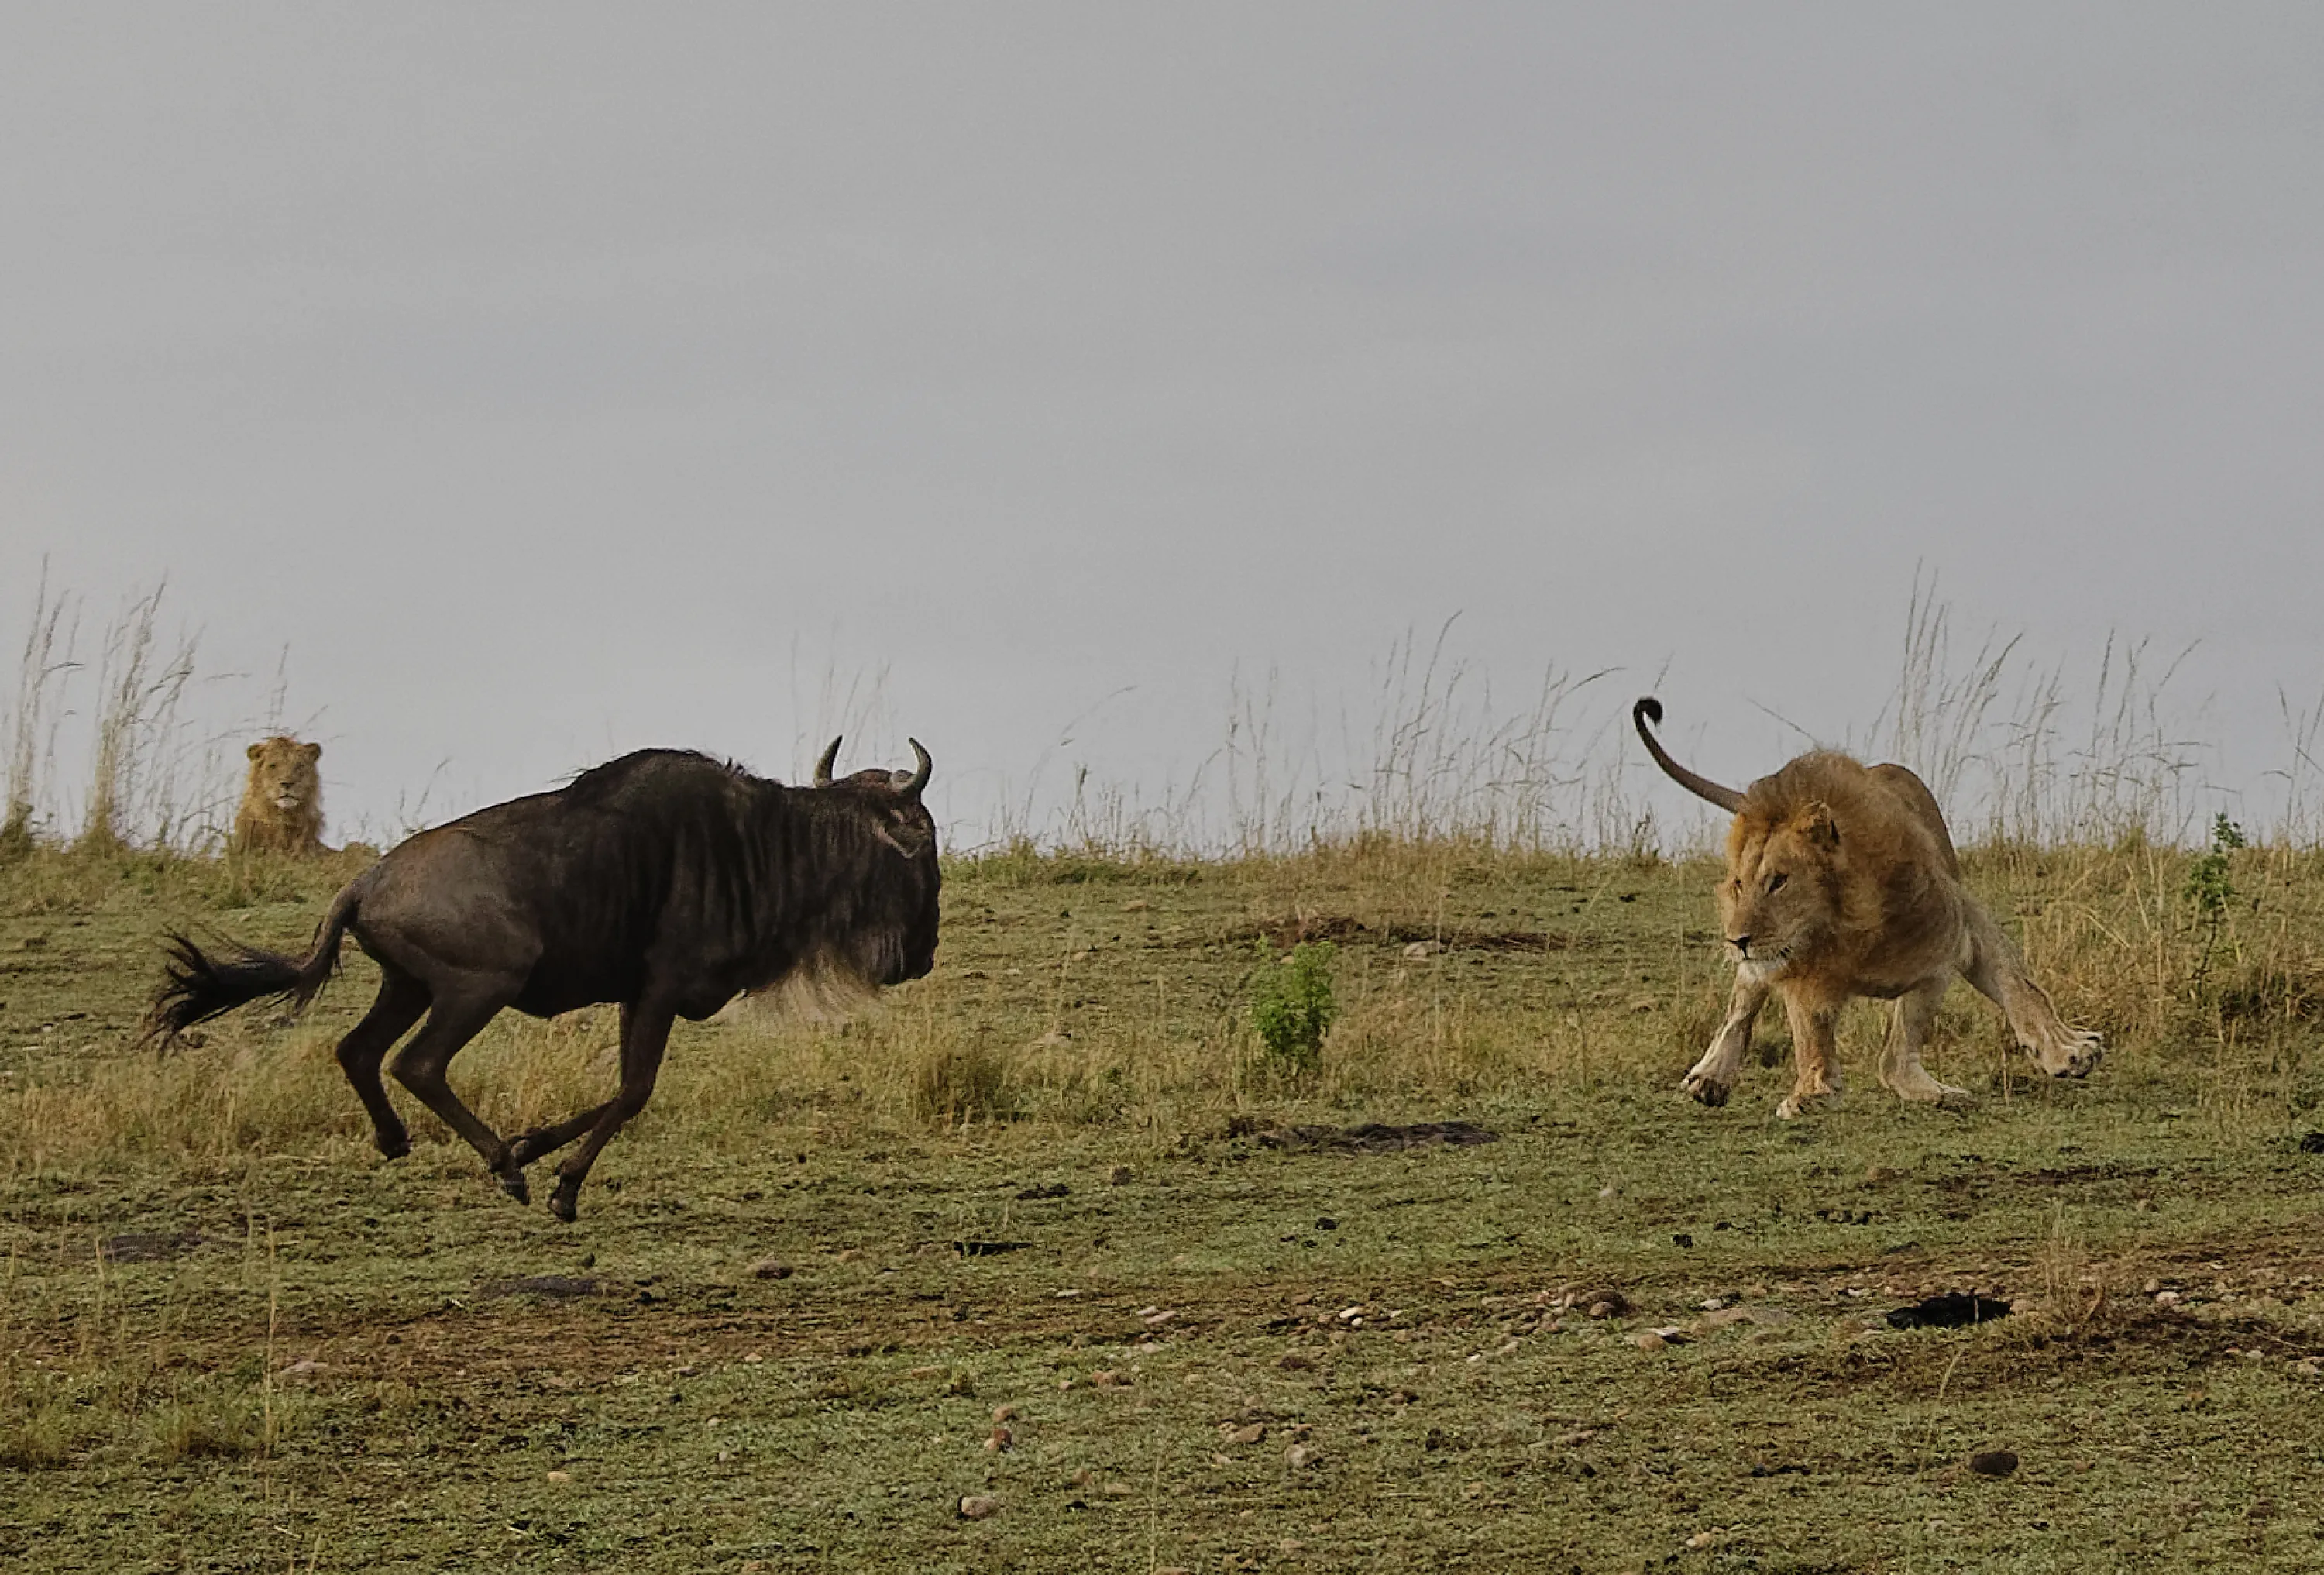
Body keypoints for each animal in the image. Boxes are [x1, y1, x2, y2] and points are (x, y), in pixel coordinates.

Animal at [1634, 698, 2101, 1116]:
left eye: (1779, 881)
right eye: (1738, 885)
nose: (1737, 940)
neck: (1848, 928)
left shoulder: (1951, 936)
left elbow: (2006, 988)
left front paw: (2068, 1053)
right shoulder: (1802, 975)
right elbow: (1811, 1031)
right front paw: (1813, 1091)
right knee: (1742, 1003)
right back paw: (1709, 1076)